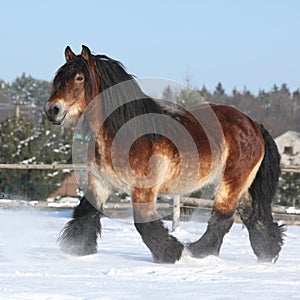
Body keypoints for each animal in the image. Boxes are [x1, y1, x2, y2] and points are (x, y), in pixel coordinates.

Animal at [44, 44, 284, 262]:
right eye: (58, 77)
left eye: (79, 78)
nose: (52, 110)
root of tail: (253, 124)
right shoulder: (100, 183)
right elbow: (85, 212)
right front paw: (76, 250)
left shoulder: (143, 189)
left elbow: (144, 222)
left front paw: (171, 254)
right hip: (242, 185)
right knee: (252, 215)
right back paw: (268, 253)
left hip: (232, 181)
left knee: (223, 217)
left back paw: (197, 252)